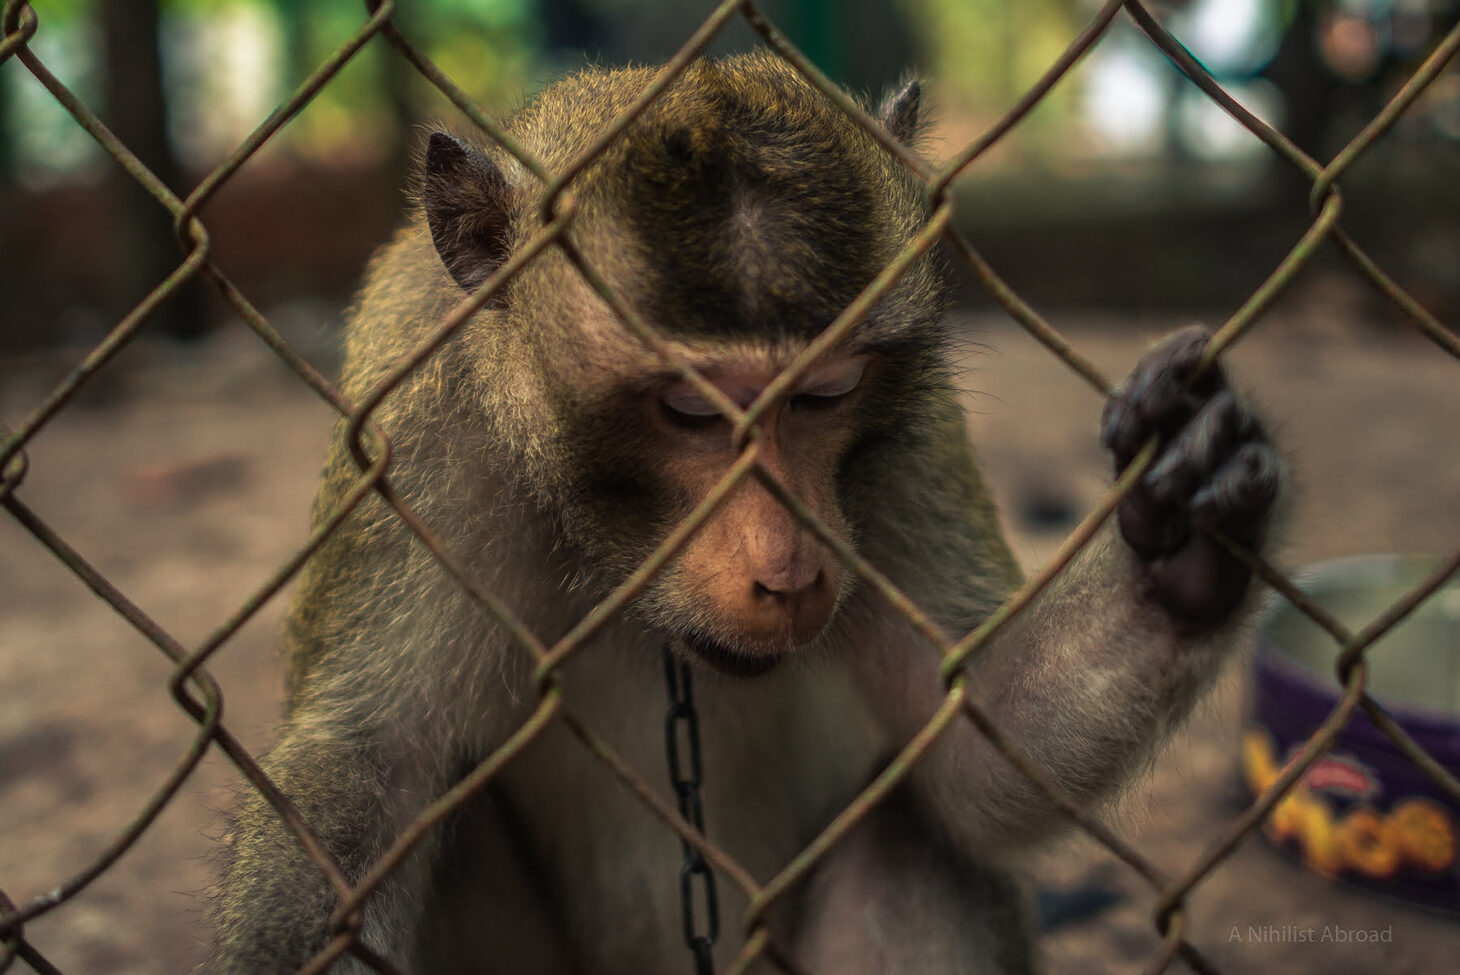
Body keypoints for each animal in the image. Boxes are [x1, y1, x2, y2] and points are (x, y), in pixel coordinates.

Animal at [207, 50, 1283, 975]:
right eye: (690, 411)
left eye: (826, 392)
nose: (790, 569)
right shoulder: (415, 432)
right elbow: (366, 774)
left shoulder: (908, 432)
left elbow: (978, 737)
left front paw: (1181, 532)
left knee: (911, 837)